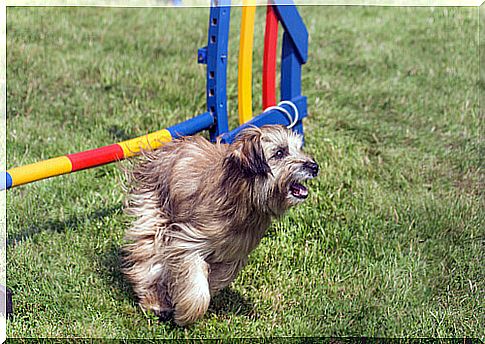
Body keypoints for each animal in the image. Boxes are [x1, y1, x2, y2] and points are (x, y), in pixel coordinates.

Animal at [121, 123, 318, 326]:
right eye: (280, 152)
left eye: (298, 148)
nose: (314, 166)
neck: (243, 199)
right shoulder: (188, 241)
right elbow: (197, 286)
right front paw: (187, 313)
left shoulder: (234, 253)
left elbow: (217, 278)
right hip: (154, 213)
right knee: (148, 259)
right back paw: (155, 302)